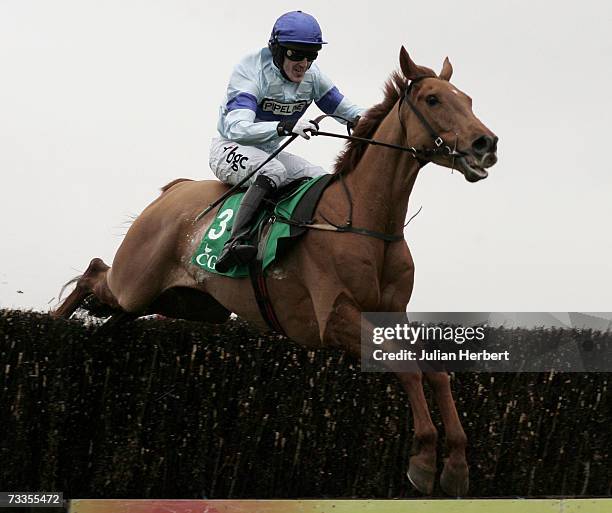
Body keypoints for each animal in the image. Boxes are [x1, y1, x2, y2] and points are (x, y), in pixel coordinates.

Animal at [52, 49, 498, 496]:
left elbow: (437, 372)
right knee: (95, 272)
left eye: (468, 99)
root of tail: (174, 191)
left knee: (118, 311)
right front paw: (423, 458)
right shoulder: (334, 318)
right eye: (433, 100)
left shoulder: (392, 314)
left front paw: (456, 463)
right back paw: (56, 325)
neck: (364, 220)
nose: (486, 144)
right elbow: (406, 367)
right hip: (135, 281)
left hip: (189, 303)